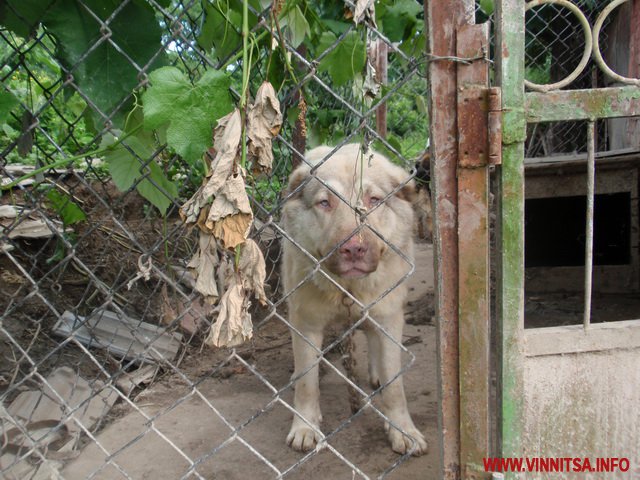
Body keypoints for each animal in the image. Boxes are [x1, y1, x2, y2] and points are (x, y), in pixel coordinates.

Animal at [282, 144, 428, 456]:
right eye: (325, 203)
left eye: (373, 200)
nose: (353, 249)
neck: (347, 289)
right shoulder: (306, 322)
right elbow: (307, 384)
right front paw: (304, 427)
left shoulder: (388, 316)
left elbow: (395, 386)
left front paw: (403, 430)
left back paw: (376, 374)